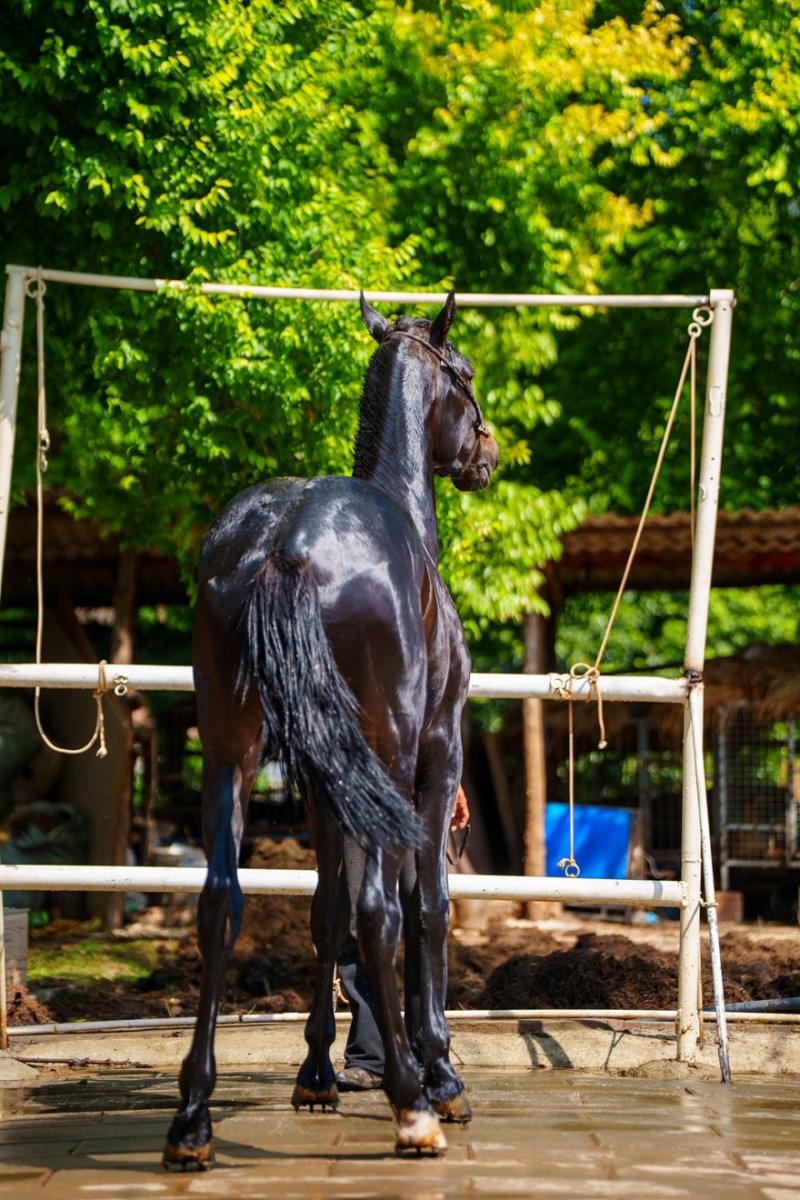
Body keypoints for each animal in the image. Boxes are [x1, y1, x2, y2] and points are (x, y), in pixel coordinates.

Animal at [163, 291, 499, 1167]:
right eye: (465, 373)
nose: (485, 450)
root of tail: (286, 544)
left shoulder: (319, 778)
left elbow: (326, 911)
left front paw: (315, 1071)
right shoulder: (435, 755)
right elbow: (424, 905)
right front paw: (441, 1072)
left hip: (232, 750)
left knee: (222, 901)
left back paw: (192, 1117)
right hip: (385, 747)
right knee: (387, 909)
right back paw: (413, 1103)